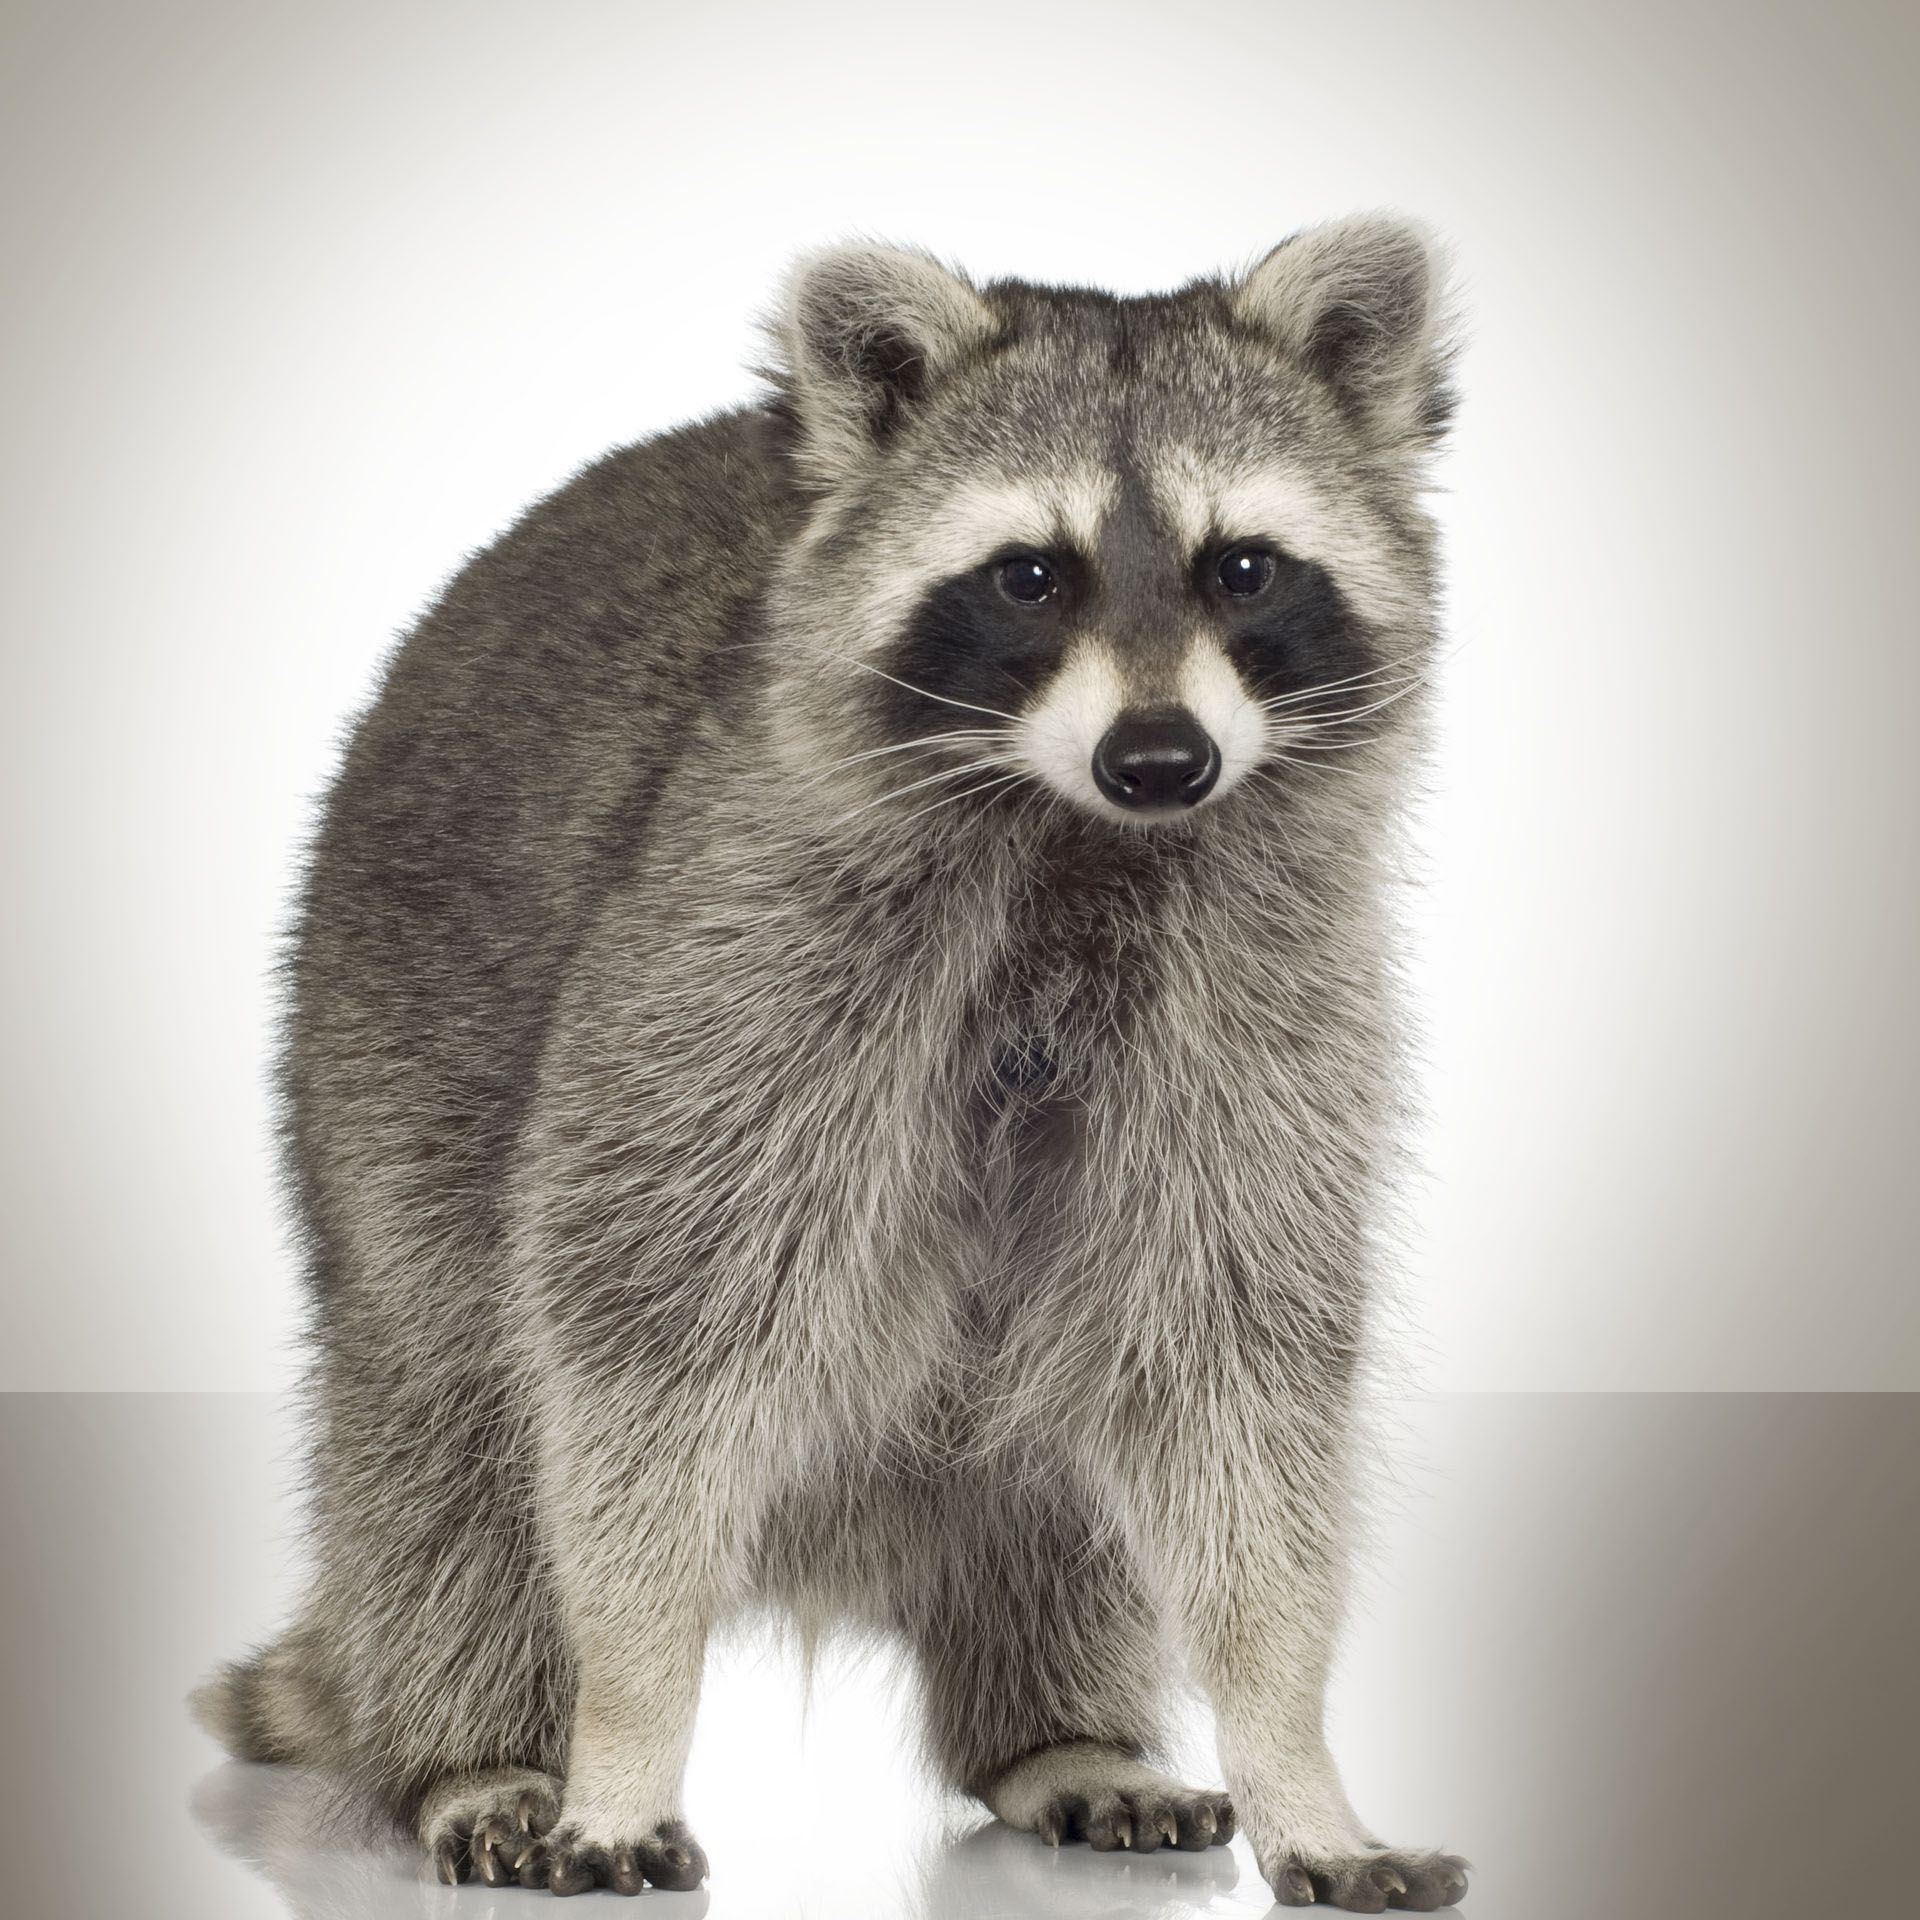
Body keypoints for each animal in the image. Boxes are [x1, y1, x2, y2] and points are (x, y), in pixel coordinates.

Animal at [194, 216, 1469, 1911]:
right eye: (1031, 575)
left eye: (1242, 566)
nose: (1161, 761)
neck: (1073, 837)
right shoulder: (732, 954)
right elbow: (642, 1353)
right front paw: (623, 1719)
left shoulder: (1260, 1002)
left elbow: (1234, 1375)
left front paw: (1291, 1745)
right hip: (372, 1047)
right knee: (442, 1425)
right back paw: (475, 1745)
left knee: (1054, 1478)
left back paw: (1062, 1731)